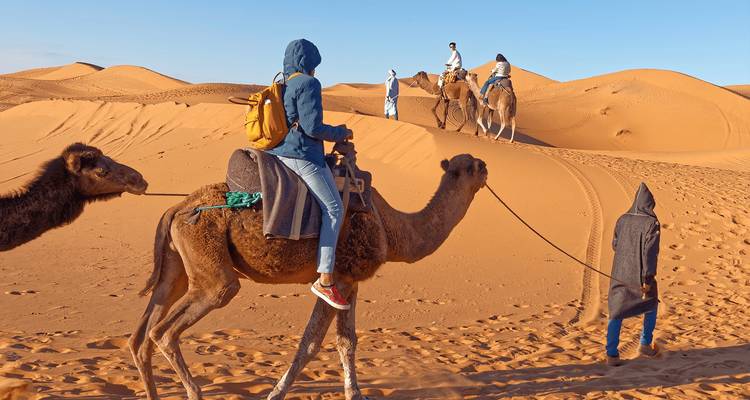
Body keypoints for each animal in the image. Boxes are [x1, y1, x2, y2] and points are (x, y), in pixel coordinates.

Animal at [129, 153, 489, 400]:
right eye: (472, 166)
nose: (486, 166)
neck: (391, 227)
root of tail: (176, 208)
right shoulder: (335, 280)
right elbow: (311, 343)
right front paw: (276, 393)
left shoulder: (349, 282)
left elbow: (346, 341)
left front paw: (354, 393)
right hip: (209, 264)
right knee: (168, 328)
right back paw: (194, 392)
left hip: (176, 266)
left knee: (142, 335)